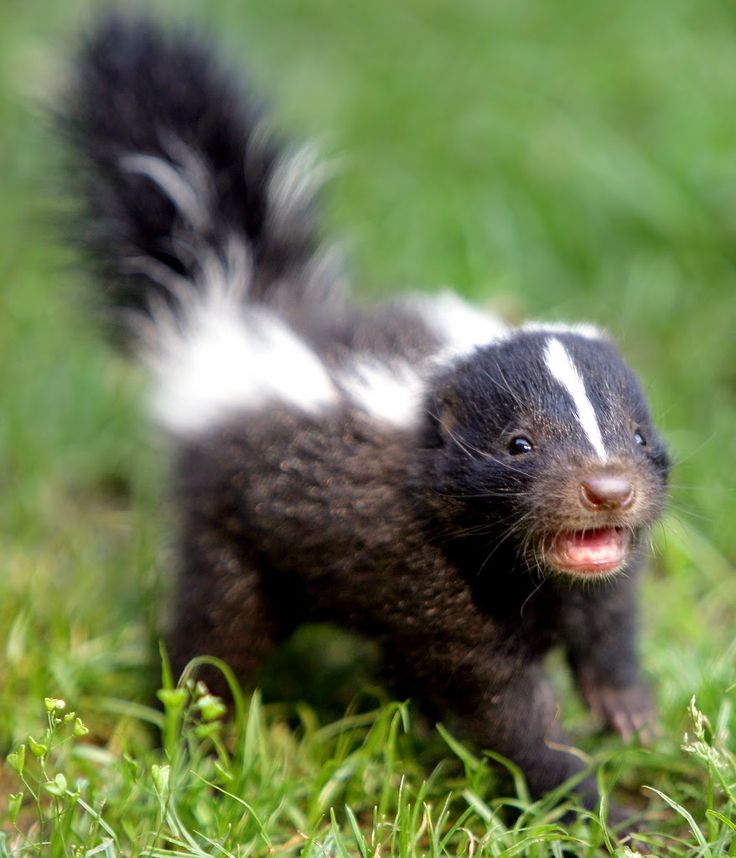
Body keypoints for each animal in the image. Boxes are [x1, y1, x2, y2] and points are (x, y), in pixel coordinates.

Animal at [66, 15, 668, 816]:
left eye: (636, 434)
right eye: (518, 444)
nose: (607, 489)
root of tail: (239, 310)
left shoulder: (583, 574)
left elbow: (608, 620)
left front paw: (630, 710)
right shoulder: (433, 570)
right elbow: (506, 707)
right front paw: (599, 806)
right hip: (229, 524)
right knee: (217, 632)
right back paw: (201, 745)